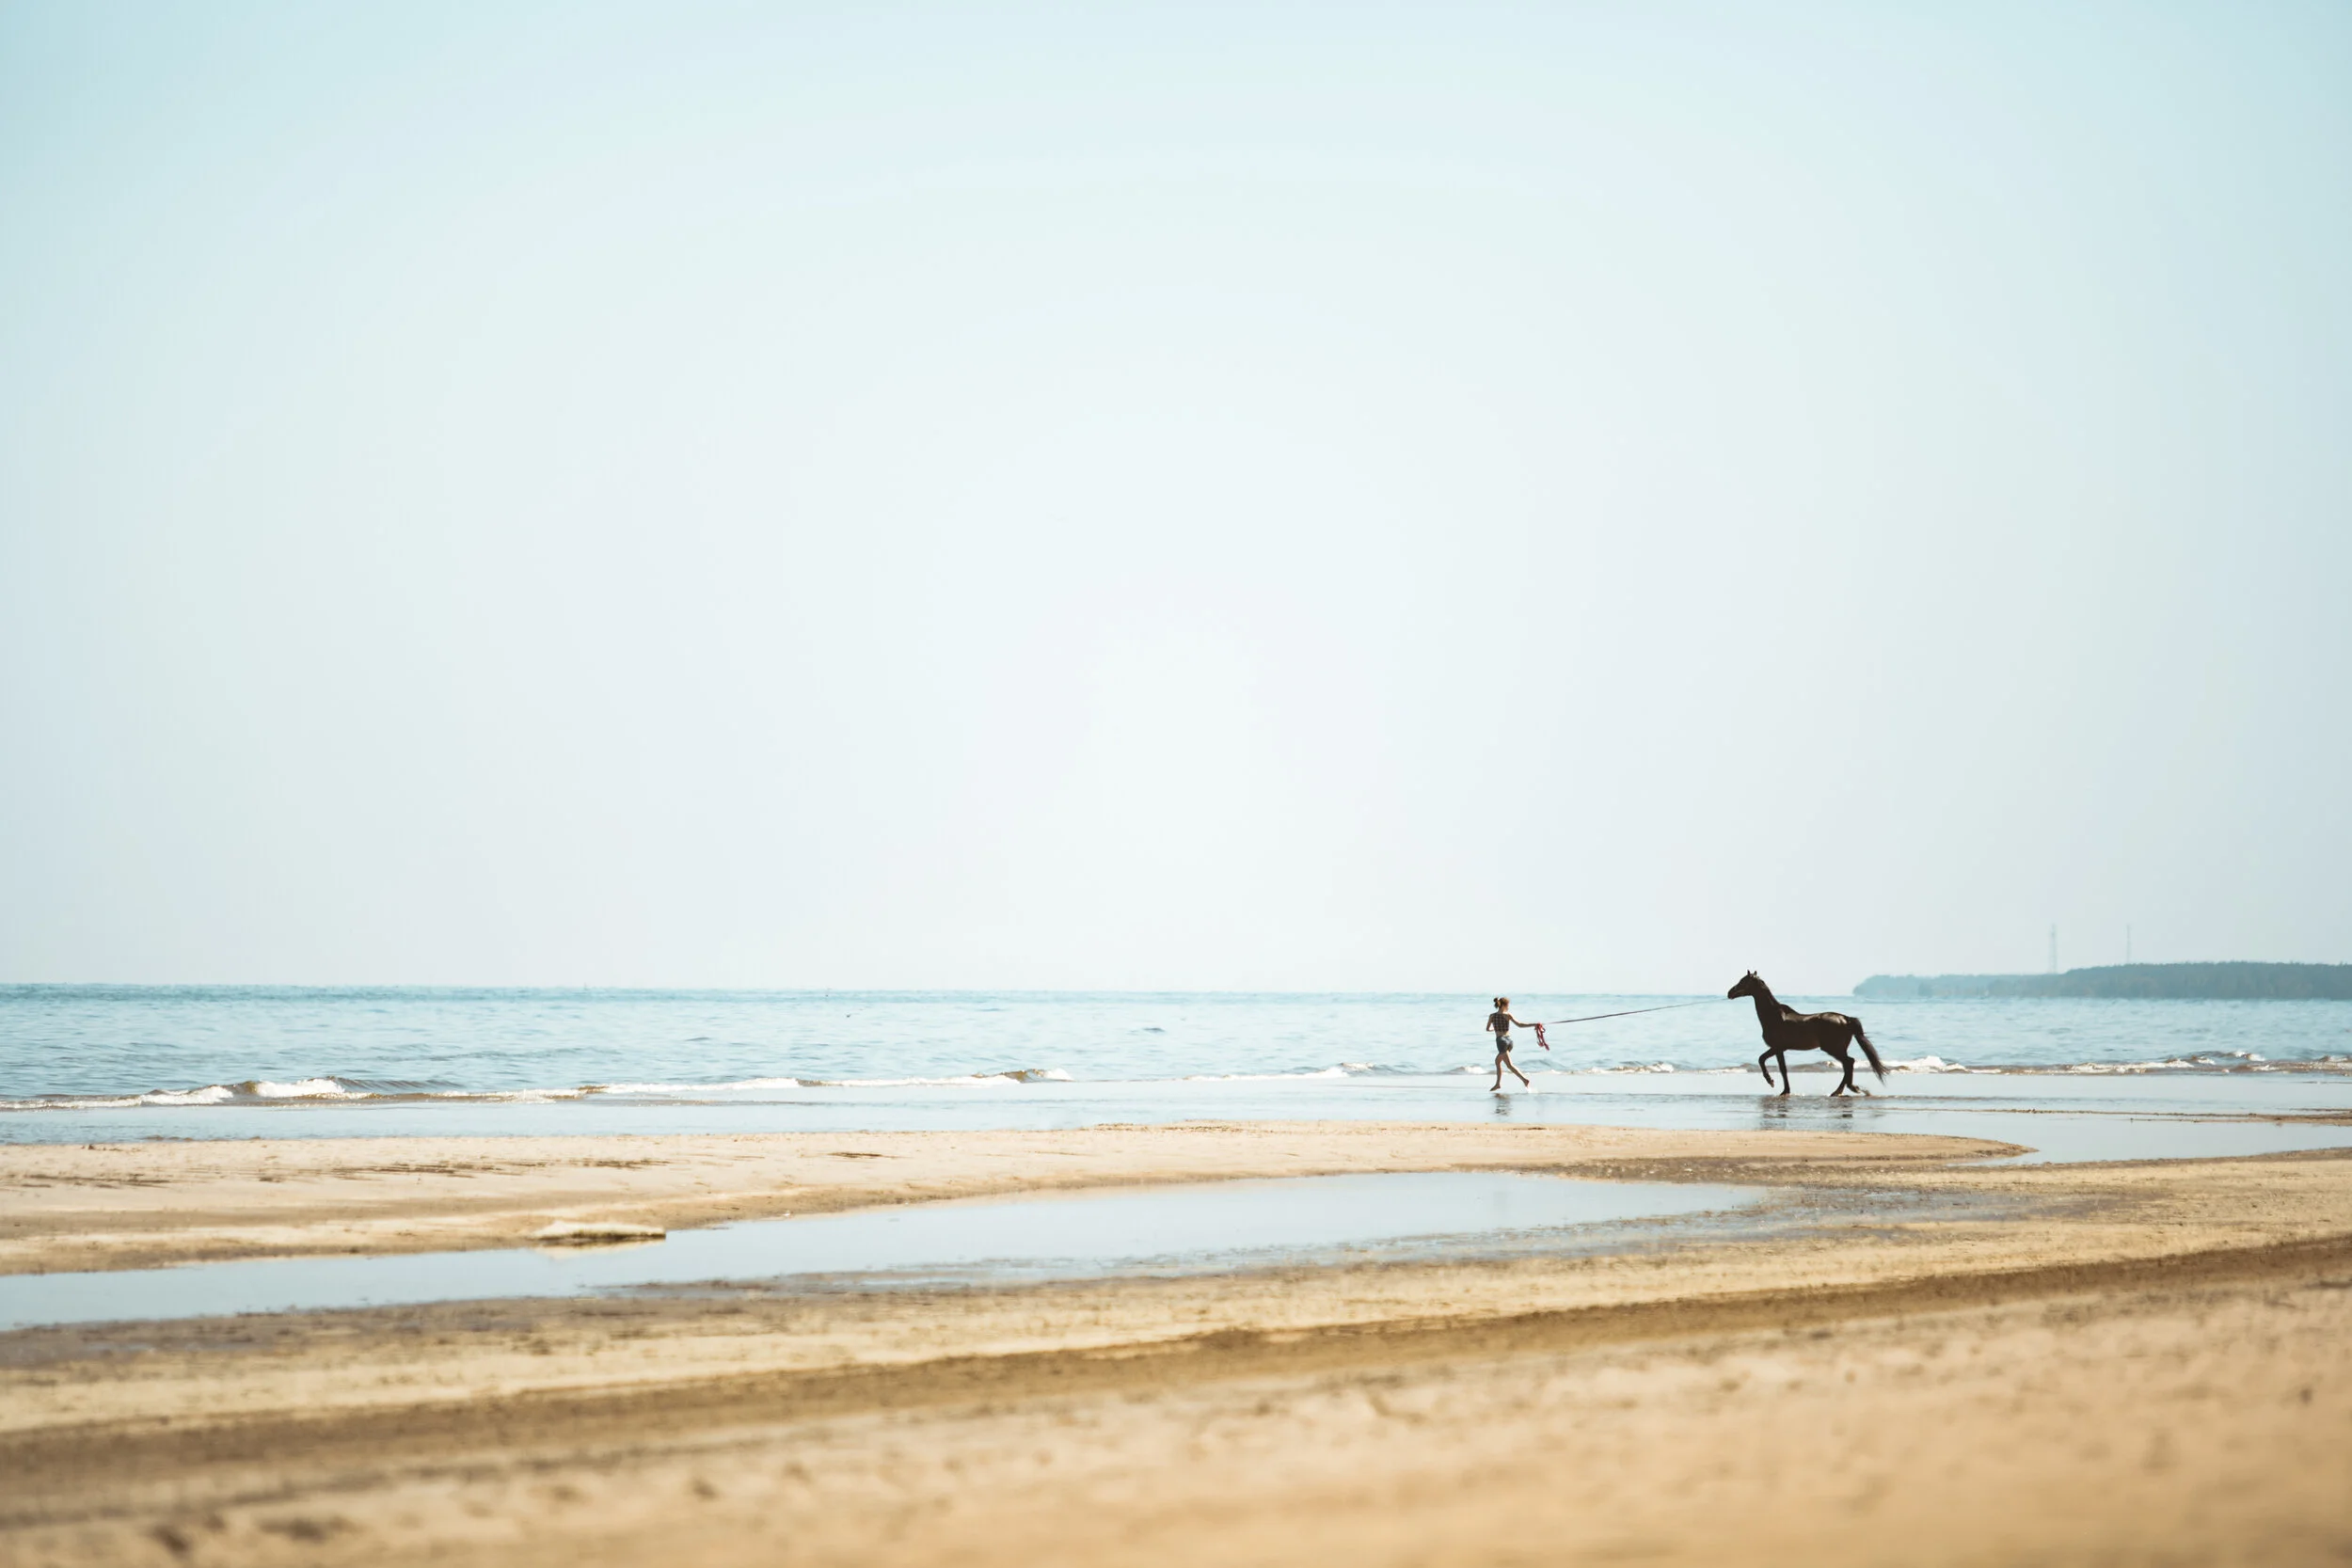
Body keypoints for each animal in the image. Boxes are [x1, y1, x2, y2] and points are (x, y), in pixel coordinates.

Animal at [1728, 971, 1885, 1096]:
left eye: (1743, 981)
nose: (1730, 992)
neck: (1774, 1017)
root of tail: (1846, 1019)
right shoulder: (1780, 1049)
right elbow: (1783, 1069)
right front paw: (1785, 1091)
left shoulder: (1777, 1047)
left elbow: (1761, 1059)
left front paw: (1771, 1081)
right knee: (1848, 1064)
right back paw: (1850, 1089)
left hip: (1833, 1048)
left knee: (1849, 1062)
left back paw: (1842, 1090)